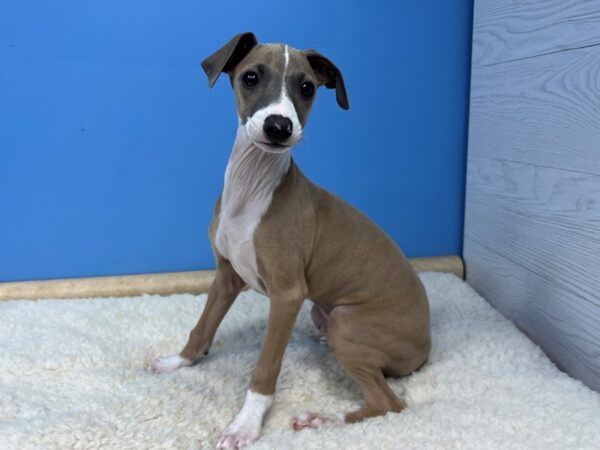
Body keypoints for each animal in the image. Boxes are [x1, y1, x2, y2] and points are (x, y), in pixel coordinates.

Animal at [150, 32, 432, 450]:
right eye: (250, 77)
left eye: (307, 88)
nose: (279, 126)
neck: (252, 187)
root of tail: (427, 346)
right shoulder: (227, 276)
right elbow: (202, 327)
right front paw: (179, 361)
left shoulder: (287, 295)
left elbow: (266, 368)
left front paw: (245, 425)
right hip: (322, 311)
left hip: (349, 324)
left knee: (389, 404)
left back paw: (322, 419)